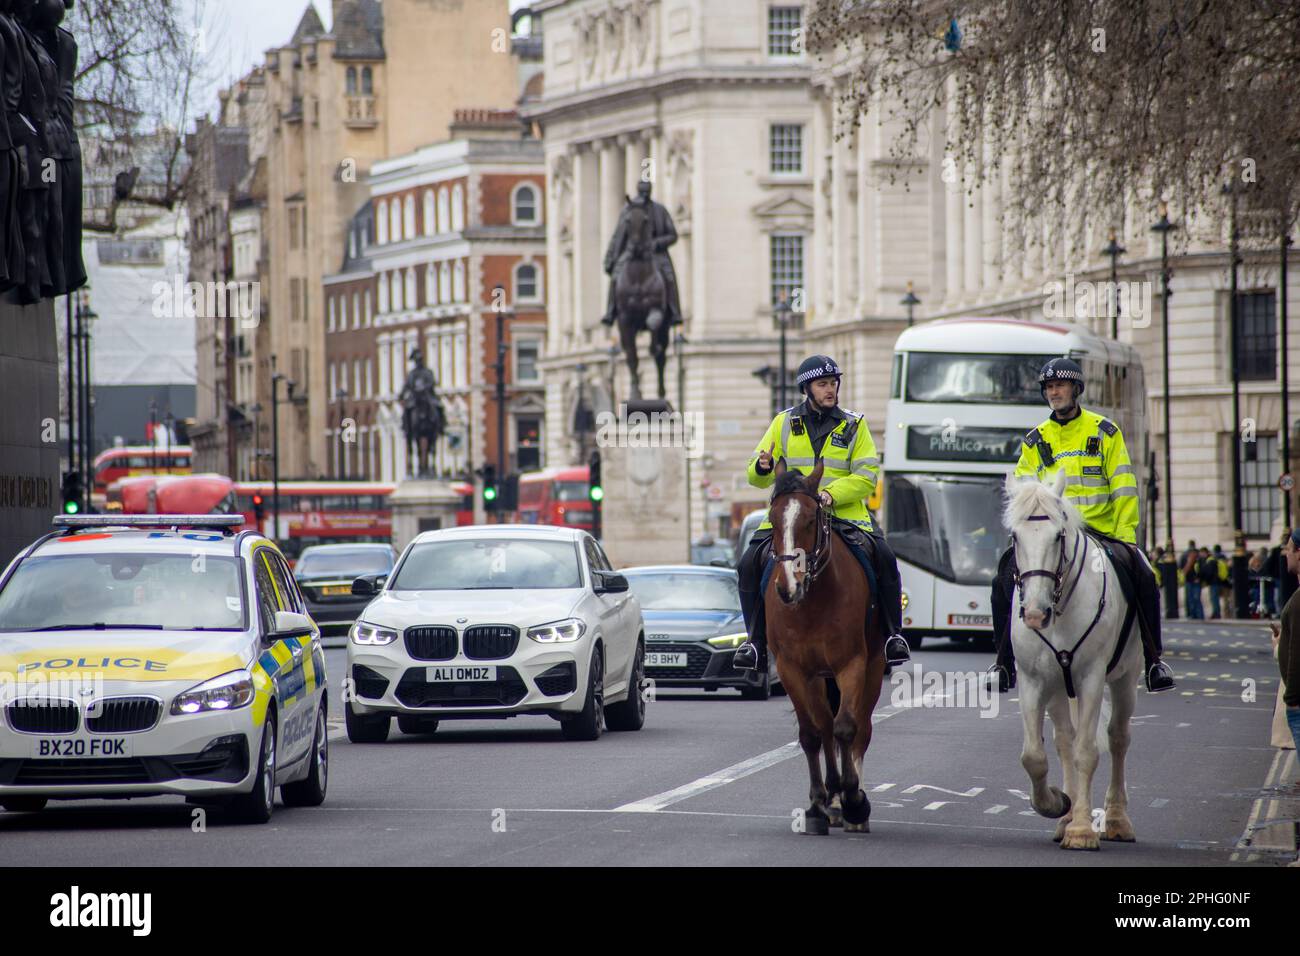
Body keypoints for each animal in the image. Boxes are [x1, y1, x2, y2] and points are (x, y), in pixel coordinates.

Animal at [764, 460, 889, 832]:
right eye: (772, 519)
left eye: (809, 520)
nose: (787, 587)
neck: (812, 602)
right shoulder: (792, 670)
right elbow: (812, 733)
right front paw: (820, 803)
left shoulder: (852, 664)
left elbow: (846, 727)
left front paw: (854, 800)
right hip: (818, 677)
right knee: (824, 726)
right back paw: (832, 801)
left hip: (873, 668)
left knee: (860, 729)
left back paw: (851, 803)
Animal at [998, 470, 1144, 853]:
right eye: (1015, 536)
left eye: (1058, 535)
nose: (1035, 614)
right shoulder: (1034, 680)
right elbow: (1034, 755)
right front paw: (1055, 804)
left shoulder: (1091, 678)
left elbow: (1087, 752)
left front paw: (1081, 830)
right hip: (1058, 687)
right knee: (1064, 740)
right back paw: (1065, 817)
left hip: (1126, 677)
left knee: (1118, 738)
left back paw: (1116, 820)